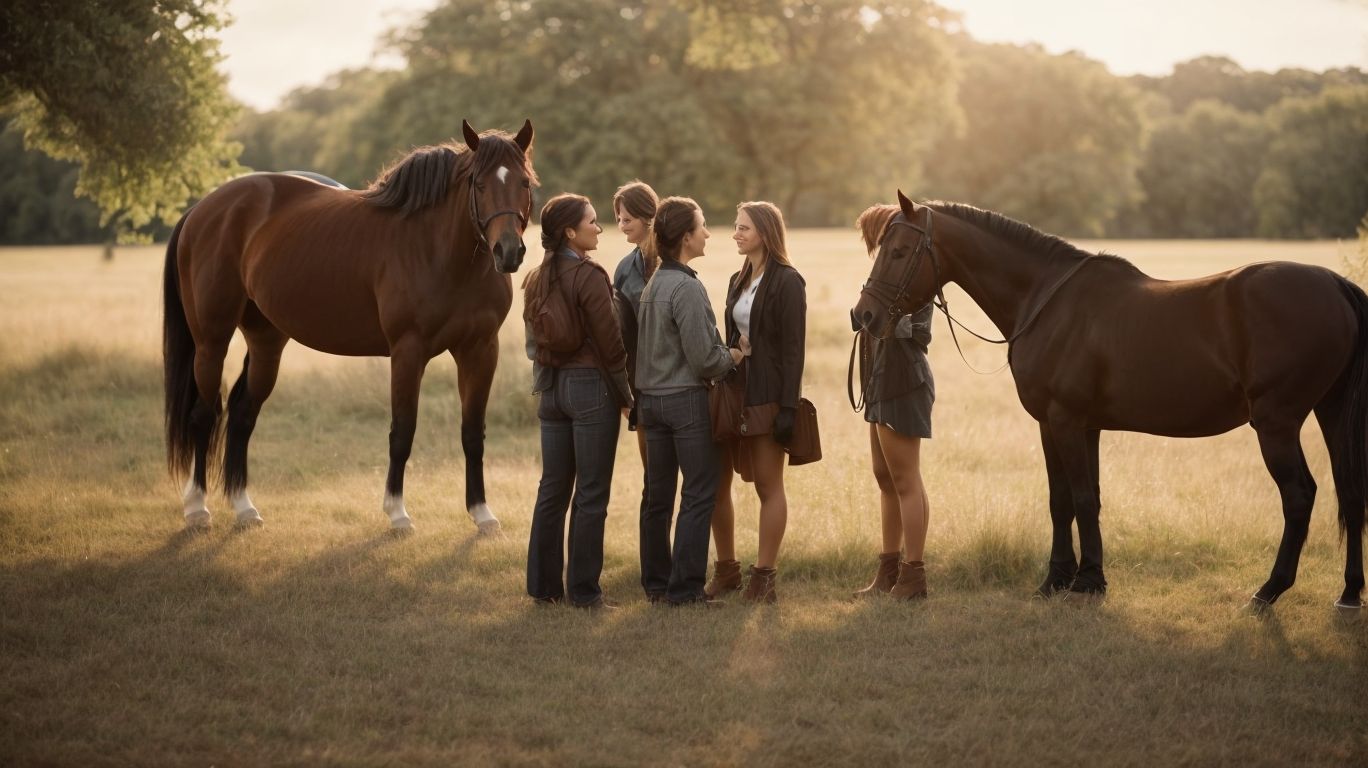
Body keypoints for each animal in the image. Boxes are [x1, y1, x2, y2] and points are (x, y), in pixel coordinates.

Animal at [163, 120, 536, 535]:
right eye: (479, 183)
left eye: (525, 182)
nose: (509, 252)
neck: (439, 251)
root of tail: (202, 209)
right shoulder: (408, 352)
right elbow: (402, 431)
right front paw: (397, 512)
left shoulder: (480, 351)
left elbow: (473, 433)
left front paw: (482, 513)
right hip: (211, 340)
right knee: (203, 416)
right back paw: (197, 508)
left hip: (266, 341)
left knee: (242, 414)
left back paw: (244, 507)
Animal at [851, 191, 1367, 613]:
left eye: (899, 252)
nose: (865, 315)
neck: (1046, 301)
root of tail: (1334, 285)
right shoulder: (1072, 426)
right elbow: (1069, 499)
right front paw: (1061, 579)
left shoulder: (1064, 420)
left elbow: (1079, 497)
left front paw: (1085, 583)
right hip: (1329, 413)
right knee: (1349, 491)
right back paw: (1348, 594)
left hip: (1277, 424)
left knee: (1299, 496)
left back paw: (1267, 592)